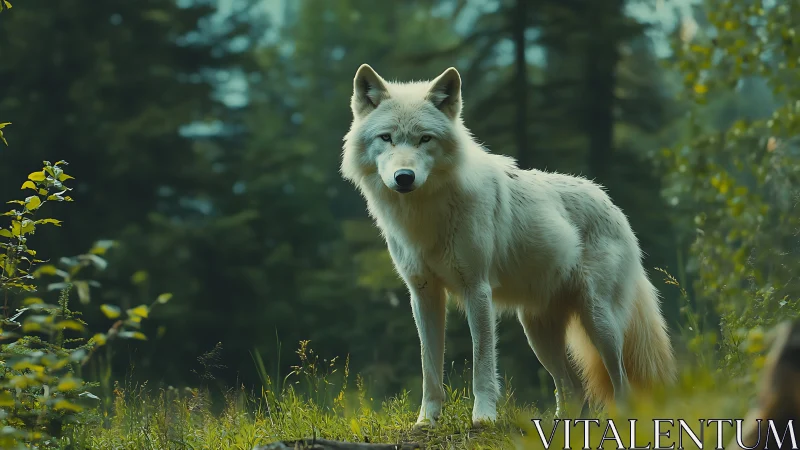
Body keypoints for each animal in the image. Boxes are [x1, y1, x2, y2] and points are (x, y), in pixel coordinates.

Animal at [340, 64, 676, 428]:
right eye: (386, 137)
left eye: (424, 138)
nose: (404, 177)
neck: (425, 214)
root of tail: (614, 206)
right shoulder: (424, 295)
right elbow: (430, 368)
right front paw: (427, 420)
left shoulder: (477, 290)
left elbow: (483, 364)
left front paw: (484, 418)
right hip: (538, 333)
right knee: (573, 389)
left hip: (601, 325)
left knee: (620, 385)